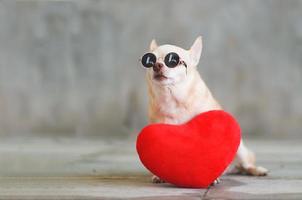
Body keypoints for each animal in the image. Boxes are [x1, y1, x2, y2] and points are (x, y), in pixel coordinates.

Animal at [140, 36, 268, 184]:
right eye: (150, 61)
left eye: (174, 61)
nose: (157, 65)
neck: (173, 100)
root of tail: (232, 168)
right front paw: (159, 175)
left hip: (241, 150)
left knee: (247, 165)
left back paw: (257, 170)